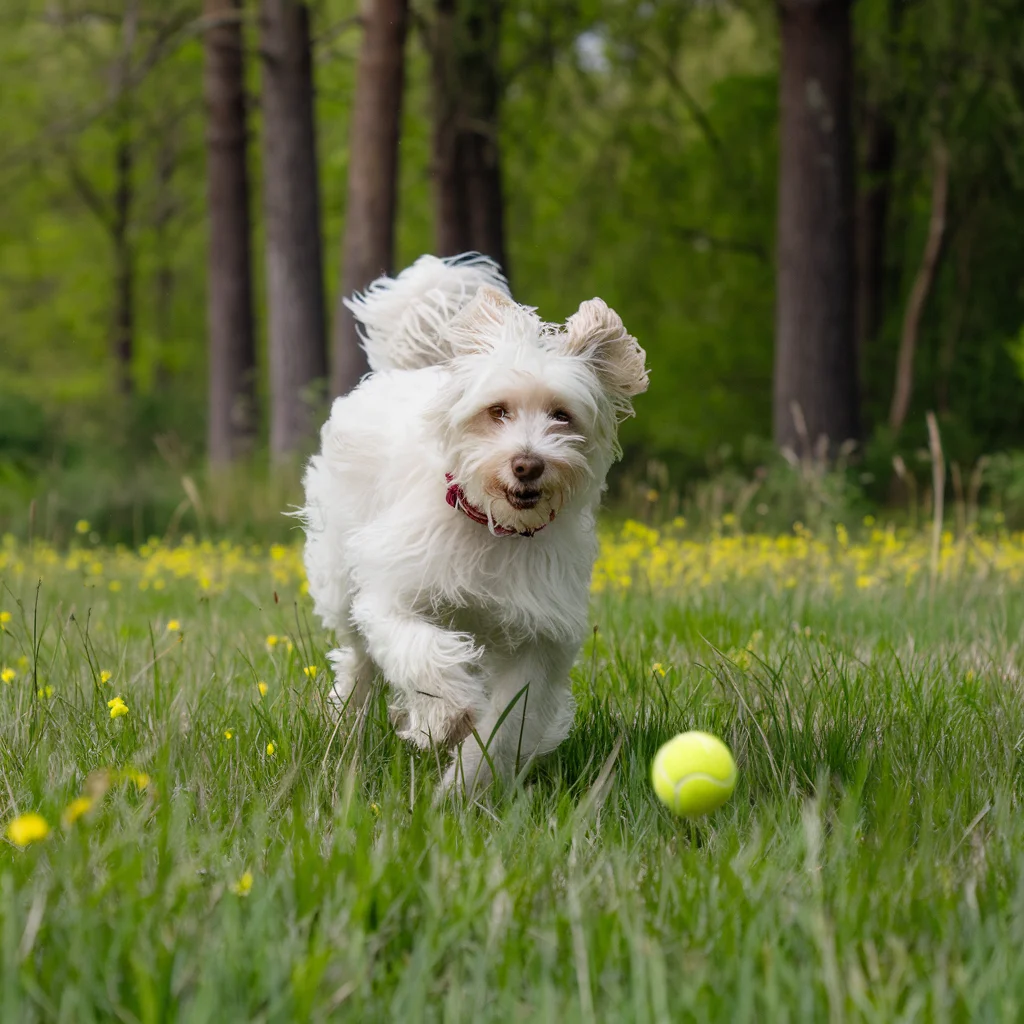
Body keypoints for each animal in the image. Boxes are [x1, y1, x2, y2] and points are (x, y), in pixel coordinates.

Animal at [299, 253, 647, 790]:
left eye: (562, 415)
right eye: (497, 411)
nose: (527, 464)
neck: (492, 527)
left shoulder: (538, 639)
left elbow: (507, 724)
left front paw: (464, 788)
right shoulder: (393, 595)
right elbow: (420, 653)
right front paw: (446, 717)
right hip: (341, 576)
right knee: (357, 660)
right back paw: (345, 725)